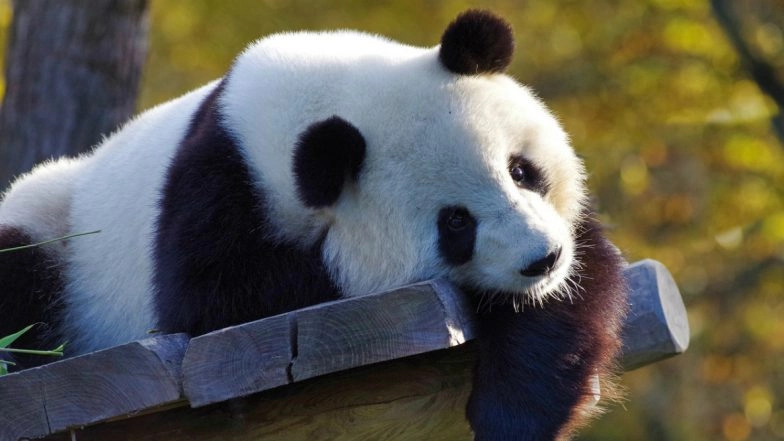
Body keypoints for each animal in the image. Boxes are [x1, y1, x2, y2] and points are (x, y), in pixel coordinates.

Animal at [0, 10, 627, 441]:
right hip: (54, 226)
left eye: (522, 170)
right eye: (455, 223)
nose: (542, 259)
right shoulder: (214, 194)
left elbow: (577, 285)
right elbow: (216, 303)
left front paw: (514, 411)